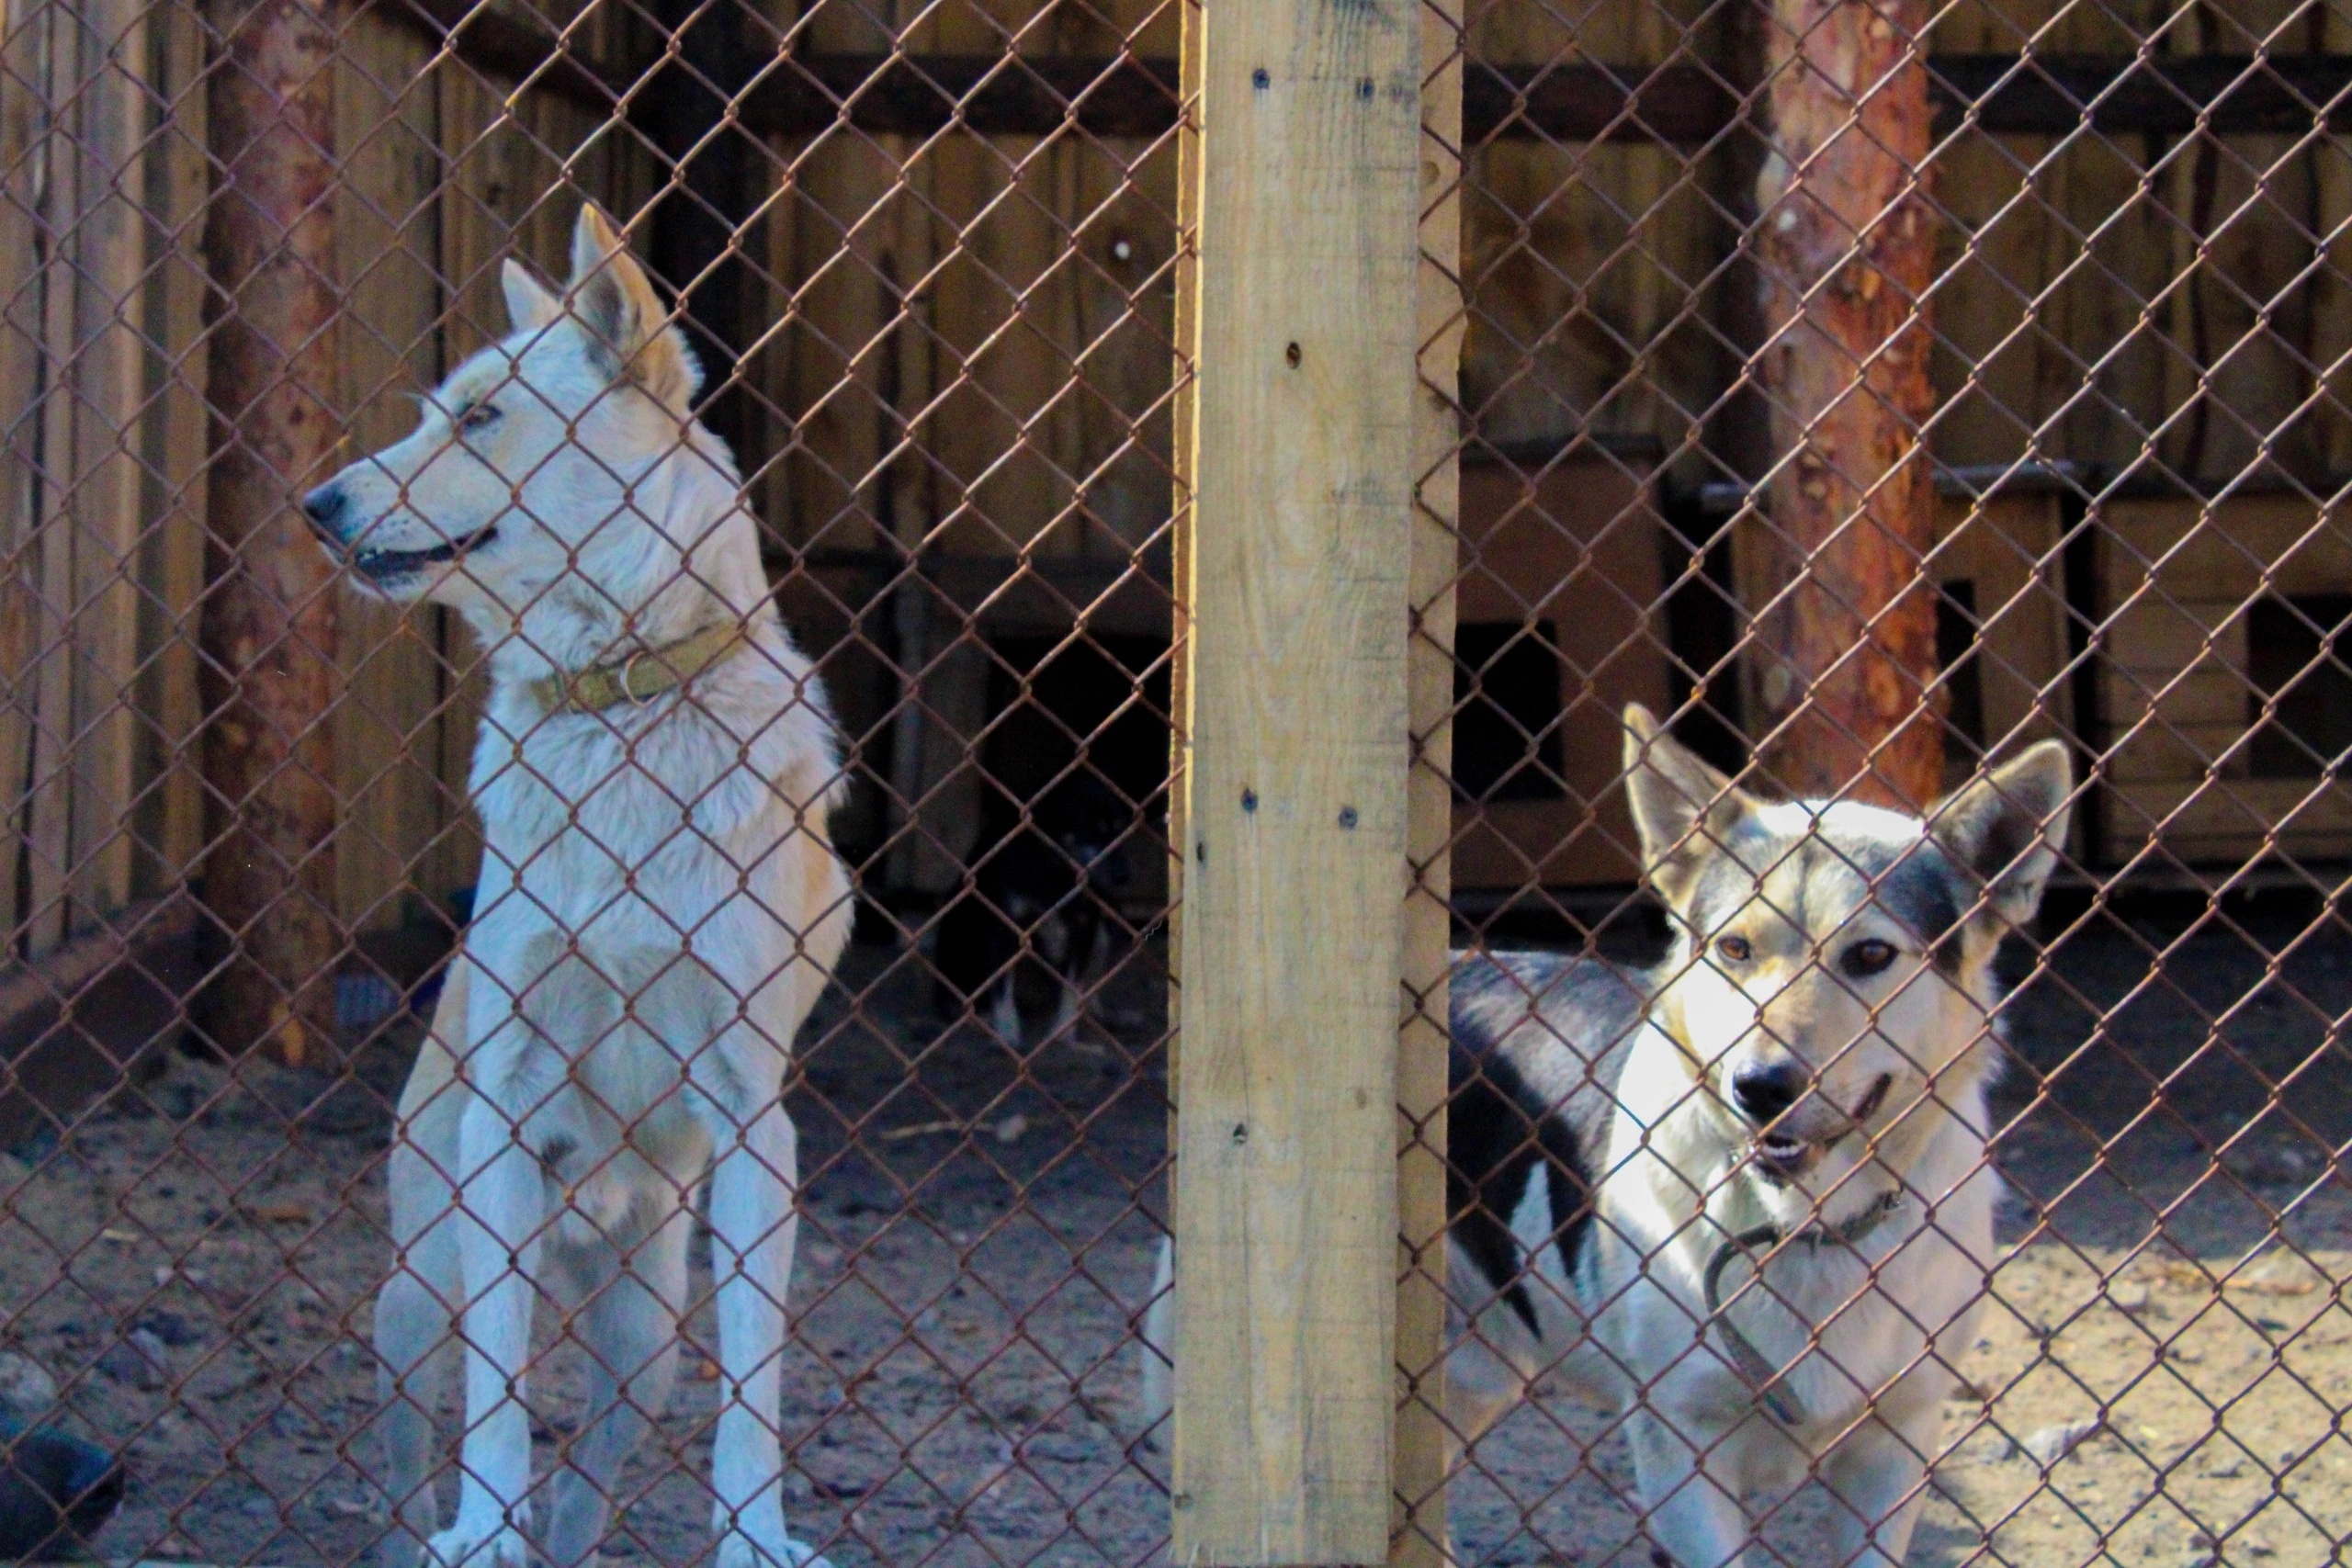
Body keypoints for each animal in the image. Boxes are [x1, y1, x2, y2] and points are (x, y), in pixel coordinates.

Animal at [308, 202, 851, 1568]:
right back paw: (434, 1530)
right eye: (435, 410)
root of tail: (587, 1209)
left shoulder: (756, 1121)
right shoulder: (501, 1109)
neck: (616, 701)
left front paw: (755, 1534)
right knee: (408, 1453)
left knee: (592, 1479)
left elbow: (751, 1392)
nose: (315, 504)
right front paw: (480, 1528)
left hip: (644, 1334)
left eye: (482, 418)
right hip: (423, 1283)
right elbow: (498, 1396)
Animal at [1148, 709, 2069, 1568]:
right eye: (1735, 948)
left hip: (1476, 1369)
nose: (1759, 1087)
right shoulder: (1682, 1452)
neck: (1800, 1225)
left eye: (1872, 954)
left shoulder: (1894, 1450)